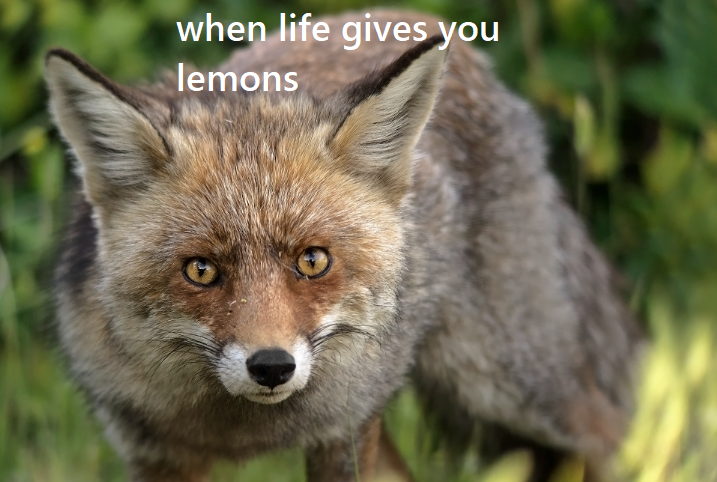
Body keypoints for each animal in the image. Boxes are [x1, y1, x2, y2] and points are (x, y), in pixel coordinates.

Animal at [46, 9, 644, 482]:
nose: (271, 367)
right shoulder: (157, 454)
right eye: (200, 270)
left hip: (513, 382)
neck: (243, 430)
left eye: (313, 261)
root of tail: (429, 20)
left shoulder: (344, 431)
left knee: (605, 432)